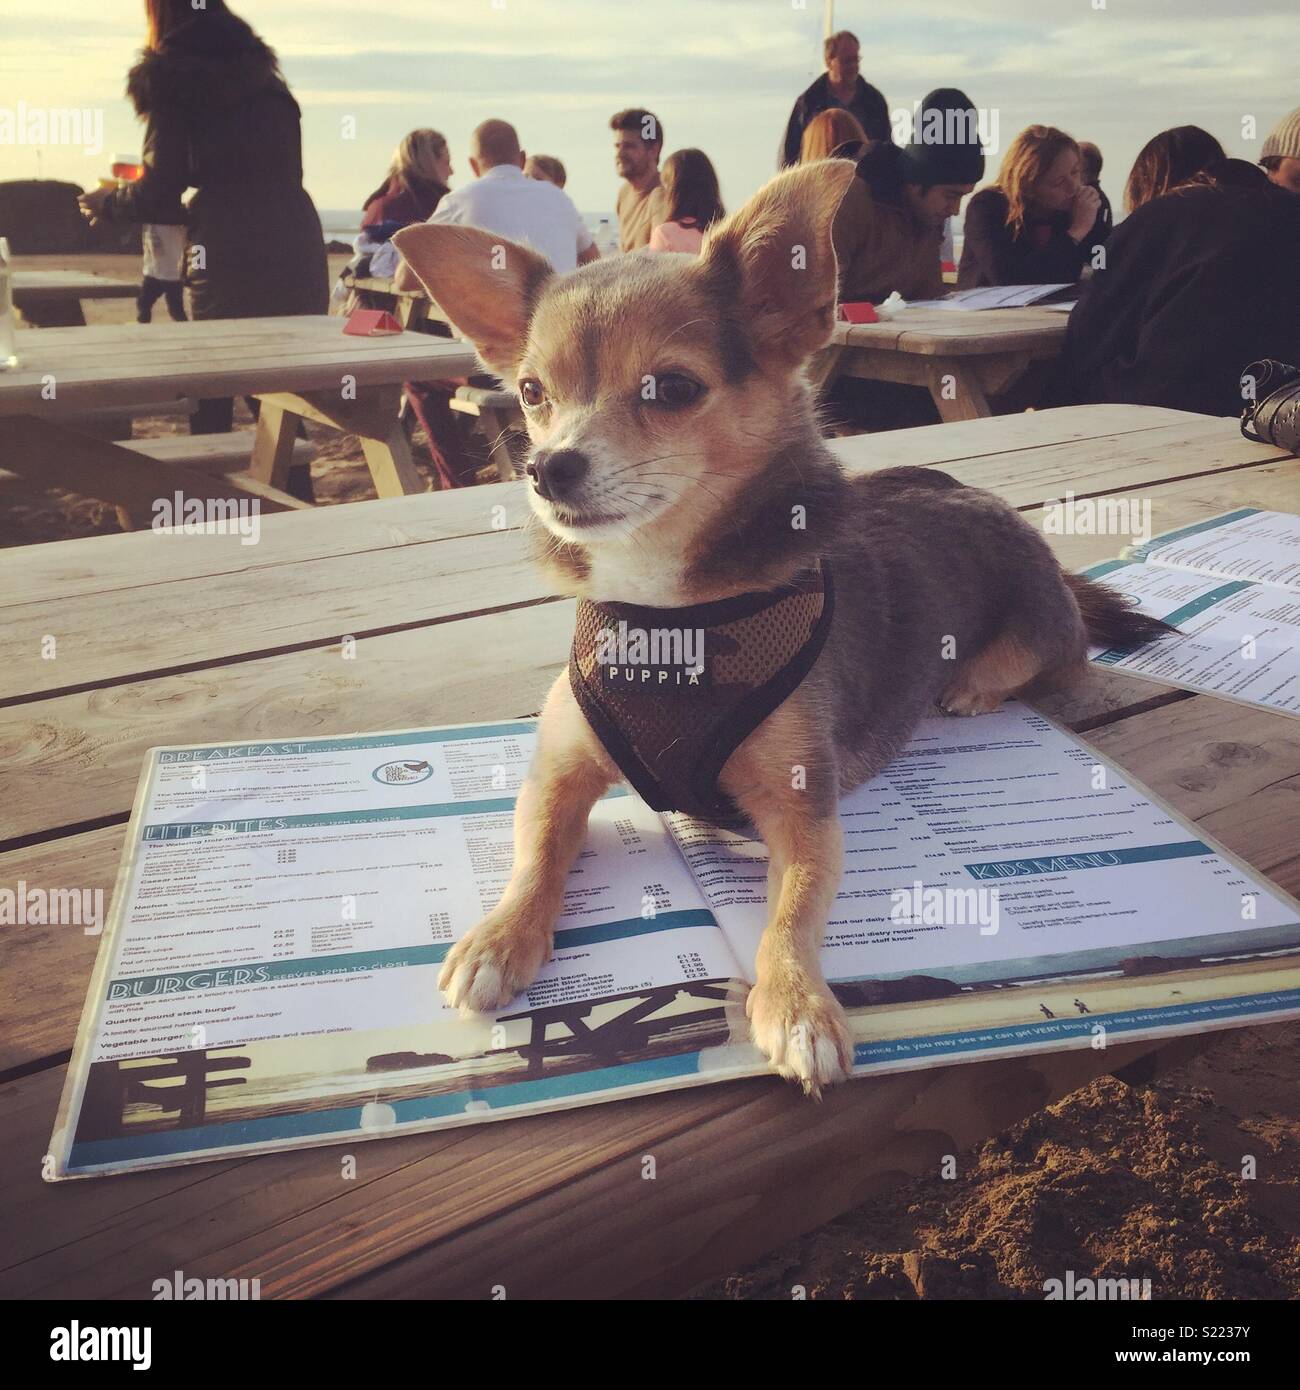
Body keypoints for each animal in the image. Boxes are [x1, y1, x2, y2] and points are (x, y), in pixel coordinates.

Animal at [394, 159, 1167, 1095]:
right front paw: (501, 936)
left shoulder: (806, 812)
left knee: (1060, 651)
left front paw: (797, 1003)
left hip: (1038, 623)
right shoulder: (559, 773)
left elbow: (792, 913)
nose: (546, 467)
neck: (668, 616)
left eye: (673, 388)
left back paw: (975, 685)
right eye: (533, 394)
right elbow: (536, 855)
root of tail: (993, 505)